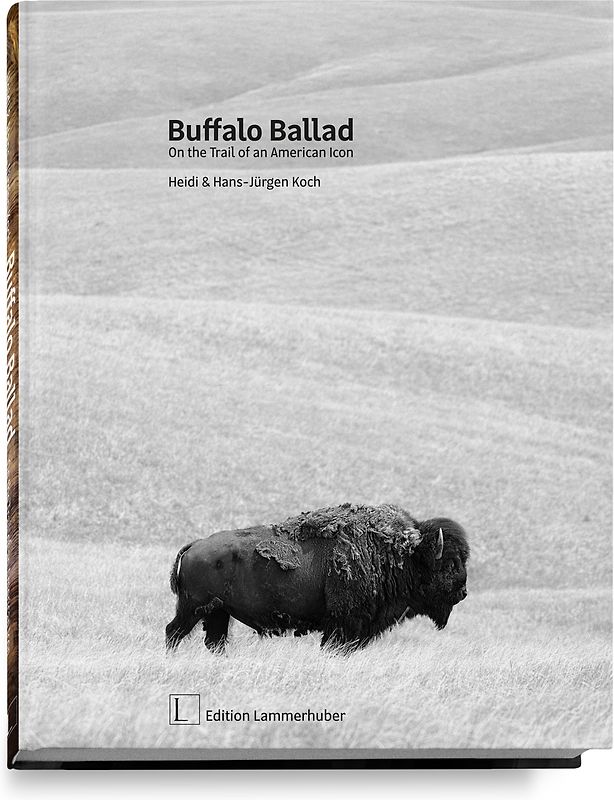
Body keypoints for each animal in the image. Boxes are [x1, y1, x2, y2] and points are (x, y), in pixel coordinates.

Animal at [165, 503, 469, 652]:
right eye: (451, 562)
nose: (463, 592)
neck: (402, 554)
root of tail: (194, 546)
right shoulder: (343, 625)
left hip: (218, 612)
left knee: (213, 641)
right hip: (192, 609)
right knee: (173, 632)